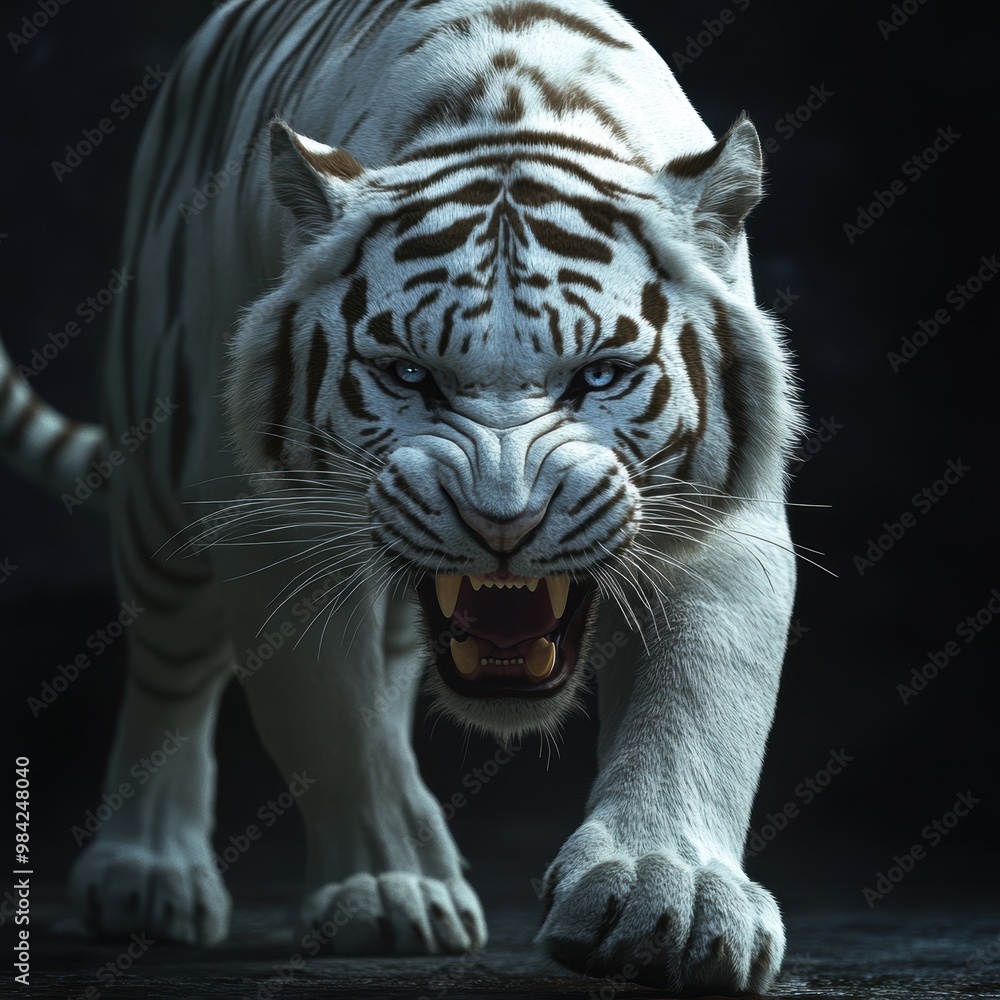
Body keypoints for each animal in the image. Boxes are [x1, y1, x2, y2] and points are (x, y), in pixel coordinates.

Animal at [0, 0, 803, 993]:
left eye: (601, 373)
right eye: (409, 373)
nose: (505, 520)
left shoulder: (723, 519)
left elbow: (698, 703)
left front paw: (669, 896)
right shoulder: (278, 529)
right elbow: (330, 723)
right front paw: (393, 891)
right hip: (162, 484)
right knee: (171, 669)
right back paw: (149, 875)